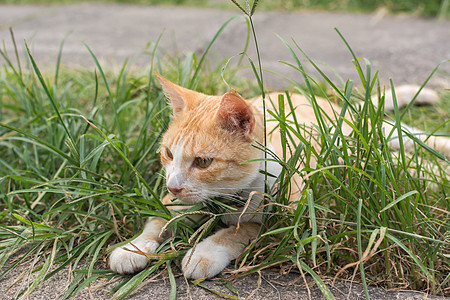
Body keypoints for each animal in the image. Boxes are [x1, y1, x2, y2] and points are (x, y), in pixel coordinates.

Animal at [110, 74, 450, 280]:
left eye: (203, 162)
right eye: (168, 154)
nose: (174, 184)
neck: (224, 200)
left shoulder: (285, 219)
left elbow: (238, 232)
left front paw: (205, 251)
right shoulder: (172, 203)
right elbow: (157, 220)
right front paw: (133, 248)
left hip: (369, 137)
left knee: (408, 140)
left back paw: (438, 167)